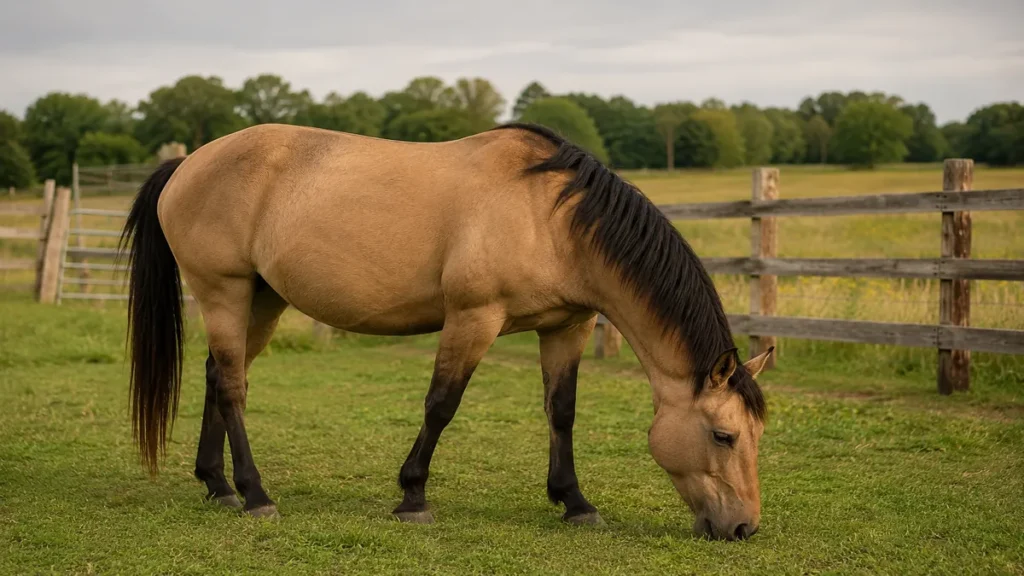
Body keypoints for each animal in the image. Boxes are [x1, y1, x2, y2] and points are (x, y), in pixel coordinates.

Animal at [118, 121, 772, 541]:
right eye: (724, 436)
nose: (742, 527)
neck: (551, 217)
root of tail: (188, 163)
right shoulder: (473, 318)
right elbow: (441, 405)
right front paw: (413, 498)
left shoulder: (568, 327)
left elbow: (561, 412)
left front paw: (575, 502)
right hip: (223, 292)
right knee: (232, 387)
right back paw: (254, 495)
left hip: (261, 298)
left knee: (218, 376)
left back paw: (217, 485)